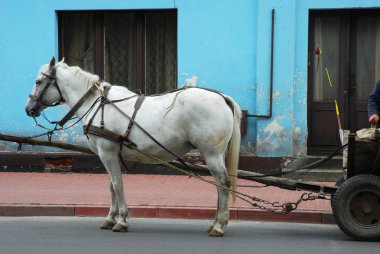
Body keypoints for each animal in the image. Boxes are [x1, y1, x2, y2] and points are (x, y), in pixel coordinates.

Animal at [25, 56, 242, 237]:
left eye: (38, 82)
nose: (28, 109)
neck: (96, 103)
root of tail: (222, 97)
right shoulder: (108, 155)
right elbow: (111, 185)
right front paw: (110, 218)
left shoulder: (108, 152)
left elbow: (117, 184)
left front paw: (121, 220)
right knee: (219, 185)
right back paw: (214, 222)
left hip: (212, 154)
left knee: (222, 183)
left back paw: (219, 225)